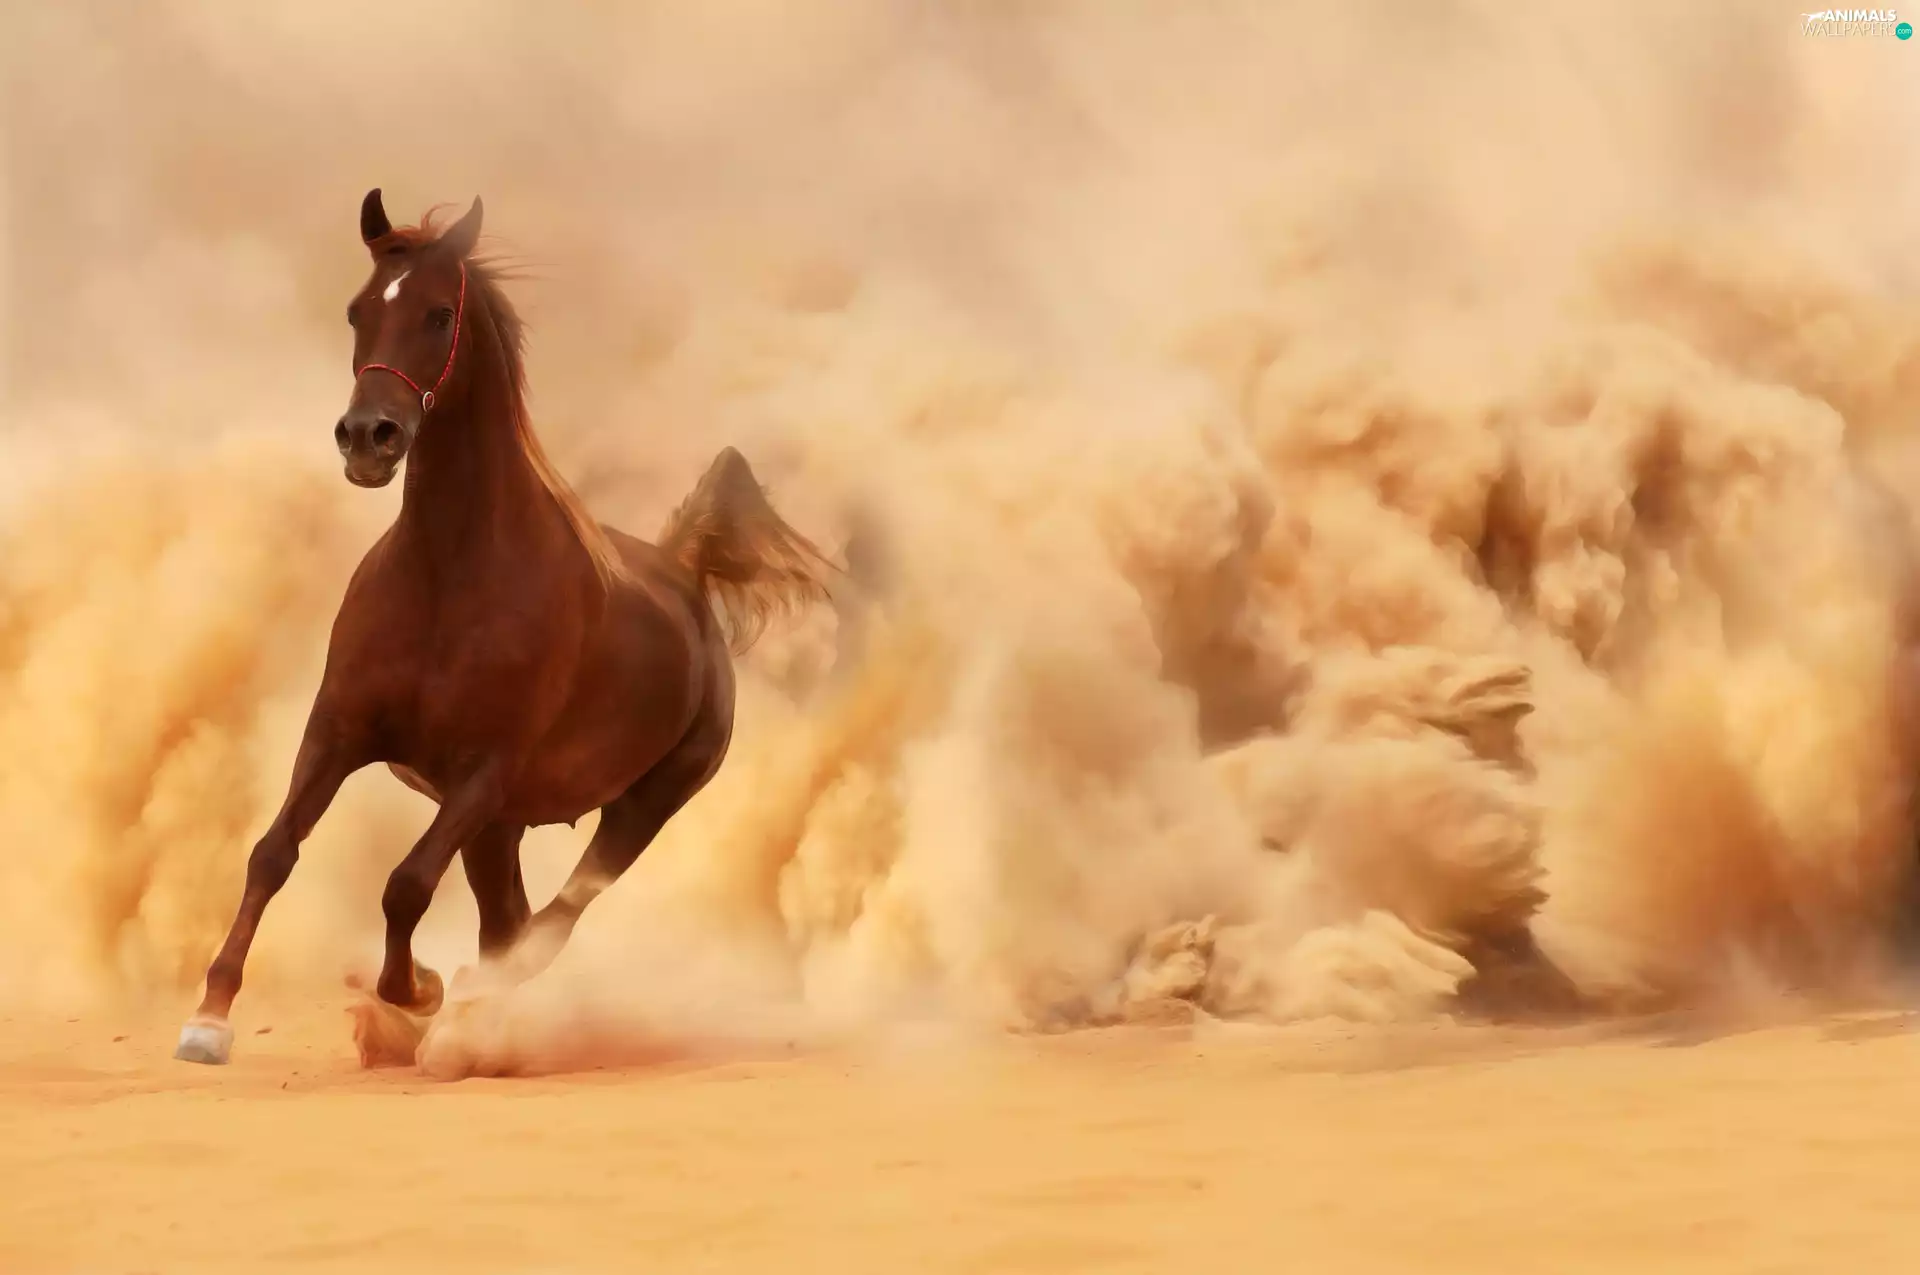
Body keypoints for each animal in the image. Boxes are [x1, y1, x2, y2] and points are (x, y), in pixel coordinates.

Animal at [174, 189, 834, 1066]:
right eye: (358, 310)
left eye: (439, 312)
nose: (367, 438)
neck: (447, 577)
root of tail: (684, 572)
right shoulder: (338, 732)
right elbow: (272, 853)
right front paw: (209, 1018)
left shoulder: (482, 772)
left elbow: (406, 884)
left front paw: (419, 989)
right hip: (503, 827)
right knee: (509, 920)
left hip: (639, 806)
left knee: (548, 925)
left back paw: (465, 1019)